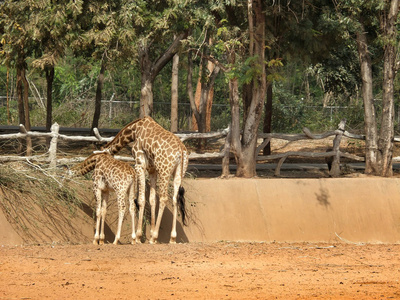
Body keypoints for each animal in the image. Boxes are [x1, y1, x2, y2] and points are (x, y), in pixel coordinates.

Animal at [95, 115, 188, 244]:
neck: (134, 130)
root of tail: (181, 151)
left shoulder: (139, 164)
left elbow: (141, 199)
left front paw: (139, 236)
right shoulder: (153, 169)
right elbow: (152, 199)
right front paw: (151, 232)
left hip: (164, 171)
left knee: (164, 198)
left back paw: (154, 238)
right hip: (178, 173)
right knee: (175, 199)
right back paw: (172, 238)